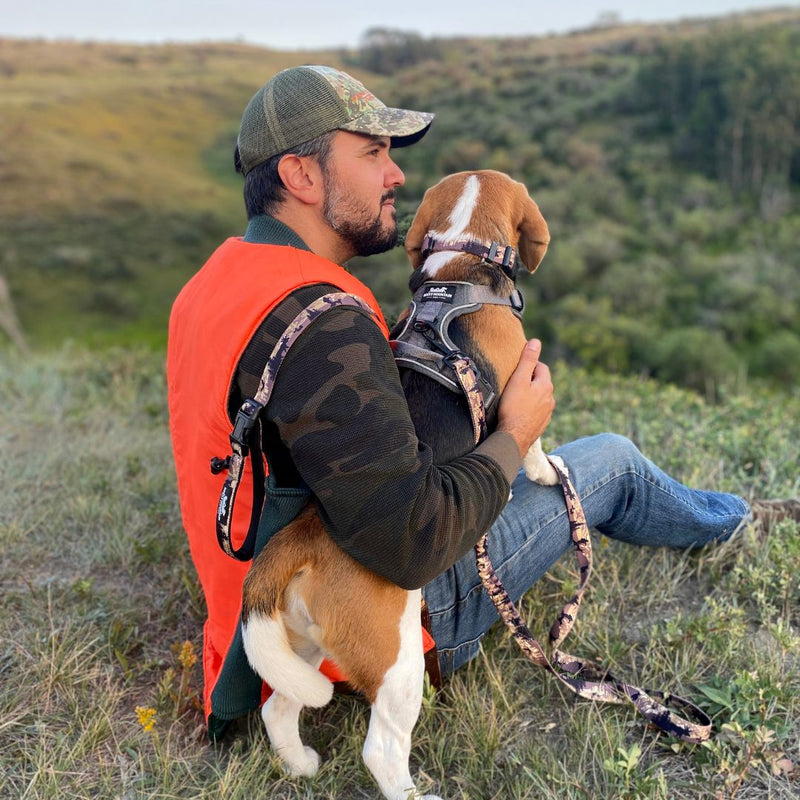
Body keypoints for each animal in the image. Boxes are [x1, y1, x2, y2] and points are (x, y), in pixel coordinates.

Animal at [241, 170, 560, 800]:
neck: (463, 263)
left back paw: (299, 764)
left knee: (278, 708)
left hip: (302, 646)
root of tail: (302, 540)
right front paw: (540, 472)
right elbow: (530, 440)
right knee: (381, 749)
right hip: (398, 662)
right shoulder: (522, 385)